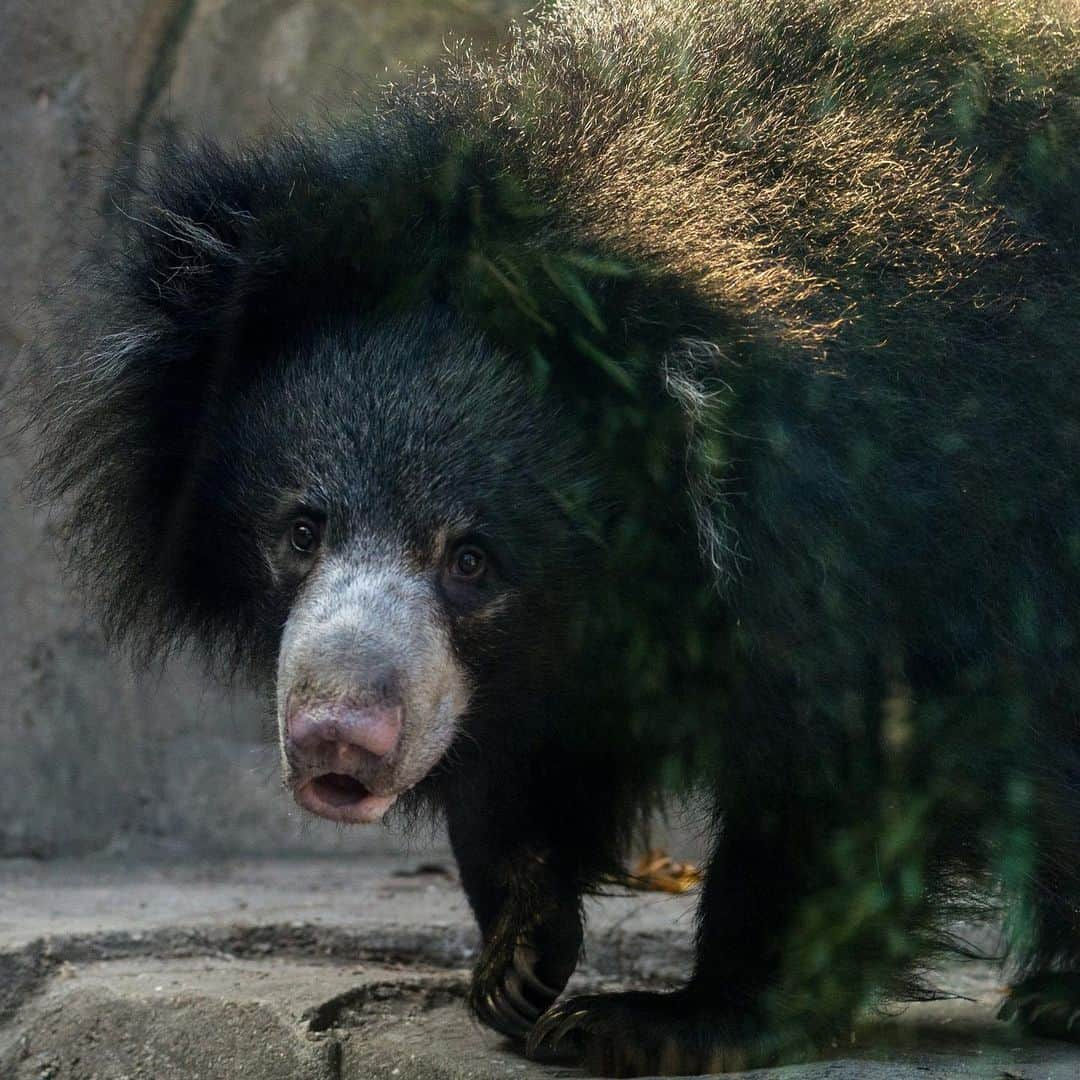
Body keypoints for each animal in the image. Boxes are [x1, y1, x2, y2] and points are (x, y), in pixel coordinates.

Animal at [23, 0, 1080, 1075]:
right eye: (302, 530)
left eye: (472, 560)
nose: (338, 742)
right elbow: (517, 744)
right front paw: (518, 957)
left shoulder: (895, 538)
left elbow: (853, 757)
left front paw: (662, 1018)